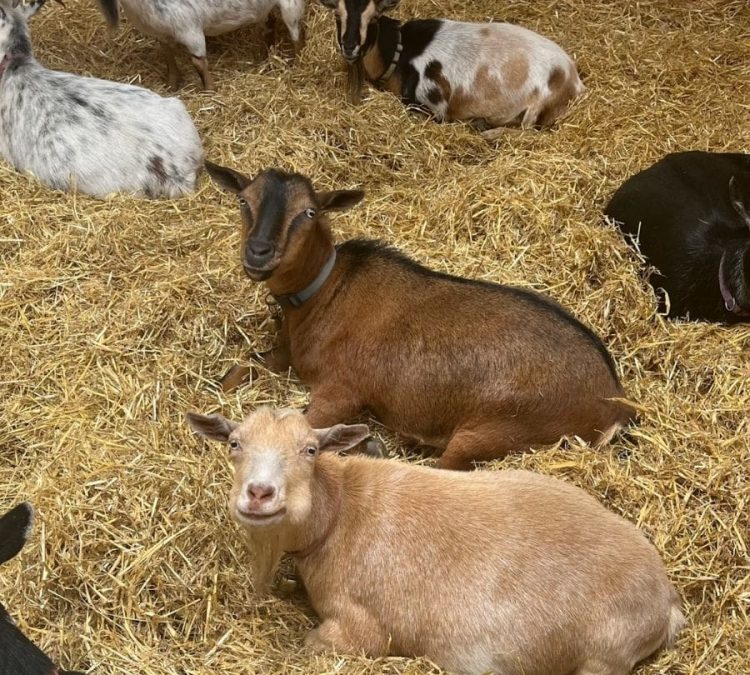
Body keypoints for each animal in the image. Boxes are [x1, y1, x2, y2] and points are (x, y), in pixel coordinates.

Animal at [95, 0, 307, 90]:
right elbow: (167, 53)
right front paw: (172, 84)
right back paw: (264, 57)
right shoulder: (163, 34)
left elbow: (199, 63)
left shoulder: (190, 30)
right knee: (269, 24)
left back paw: (297, 66)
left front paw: (210, 92)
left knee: (296, 33)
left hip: (290, 5)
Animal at [187, 406, 684, 675]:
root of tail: (666, 602)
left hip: (602, 654)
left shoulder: (360, 627)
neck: (340, 512)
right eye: (234, 443)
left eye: (310, 450)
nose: (259, 493)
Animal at [205, 162, 634, 470]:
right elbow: (236, 372)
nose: (258, 252)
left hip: (499, 428)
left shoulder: (342, 388)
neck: (327, 291)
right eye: (243, 200)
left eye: (308, 211)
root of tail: (616, 403)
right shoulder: (285, 356)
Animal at [318, 0, 584, 135]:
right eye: (337, 15)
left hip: (539, 107)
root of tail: (574, 80)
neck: (400, 50)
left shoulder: (434, 103)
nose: (349, 46)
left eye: (373, 17)